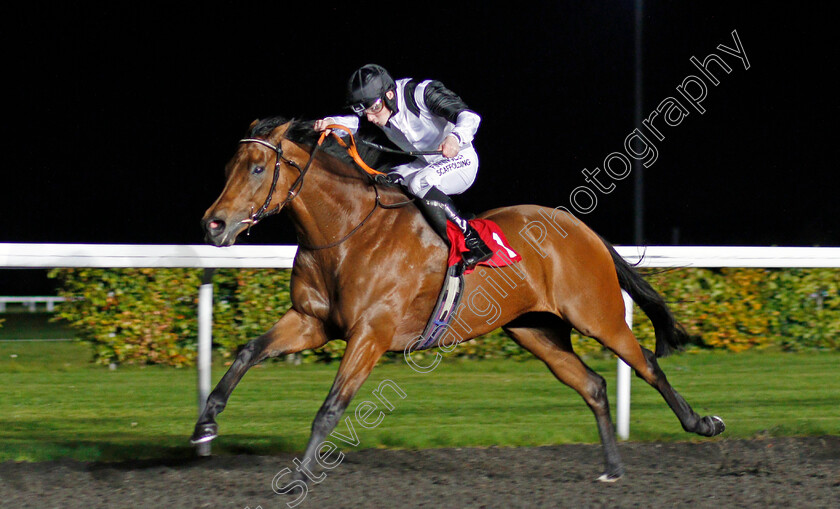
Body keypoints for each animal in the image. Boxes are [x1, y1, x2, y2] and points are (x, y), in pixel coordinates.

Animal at [190, 115, 720, 480]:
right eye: (229, 166)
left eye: (258, 168)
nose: (213, 224)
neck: (347, 234)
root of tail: (580, 227)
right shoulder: (311, 321)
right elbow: (248, 352)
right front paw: (205, 425)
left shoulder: (370, 334)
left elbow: (331, 408)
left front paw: (299, 474)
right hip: (536, 330)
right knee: (592, 385)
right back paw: (612, 467)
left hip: (598, 316)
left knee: (646, 362)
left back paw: (702, 423)